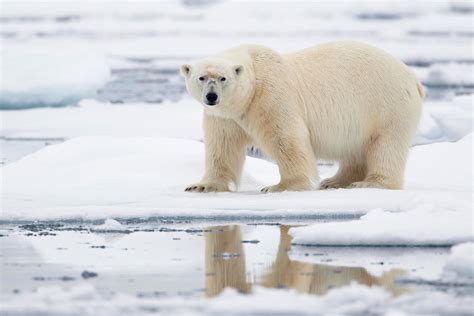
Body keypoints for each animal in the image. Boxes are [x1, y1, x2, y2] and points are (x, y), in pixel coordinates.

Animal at [181, 42, 422, 193]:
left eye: (223, 78)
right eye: (202, 77)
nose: (211, 96)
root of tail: (413, 78)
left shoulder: (271, 95)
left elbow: (286, 139)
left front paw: (280, 186)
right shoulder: (225, 116)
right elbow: (222, 146)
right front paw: (201, 186)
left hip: (386, 105)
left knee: (386, 145)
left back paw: (370, 183)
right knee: (355, 151)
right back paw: (334, 181)